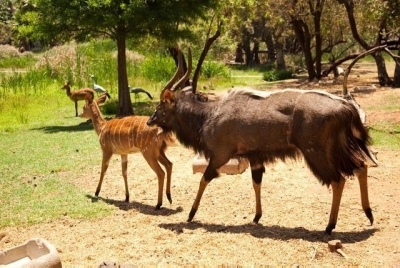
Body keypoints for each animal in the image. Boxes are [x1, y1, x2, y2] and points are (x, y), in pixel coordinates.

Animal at [148, 48, 378, 234]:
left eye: (160, 106)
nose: (150, 120)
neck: (208, 115)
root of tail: (346, 107)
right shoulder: (255, 157)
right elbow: (256, 182)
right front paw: (256, 217)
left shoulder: (220, 156)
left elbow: (204, 179)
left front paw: (191, 214)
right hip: (337, 149)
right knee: (361, 167)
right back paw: (368, 215)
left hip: (317, 153)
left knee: (339, 179)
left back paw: (330, 226)